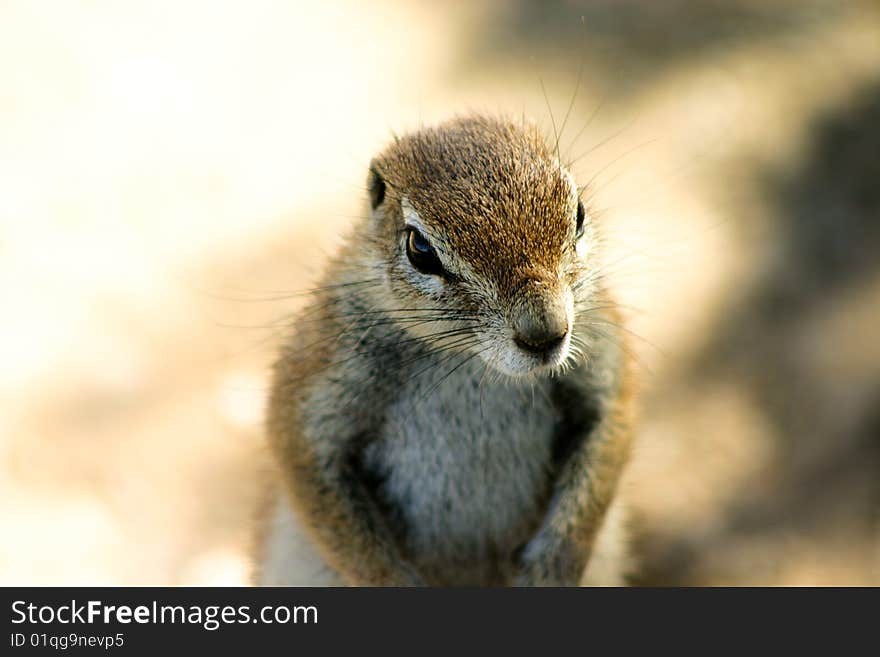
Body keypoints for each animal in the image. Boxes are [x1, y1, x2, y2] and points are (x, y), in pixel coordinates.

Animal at [253, 113, 632, 584]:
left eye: (578, 213)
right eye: (420, 249)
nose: (546, 334)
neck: (473, 364)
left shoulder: (600, 346)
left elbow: (609, 431)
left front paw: (552, 567)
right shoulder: (319, 372)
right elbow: (307, 464)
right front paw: (395, 581)